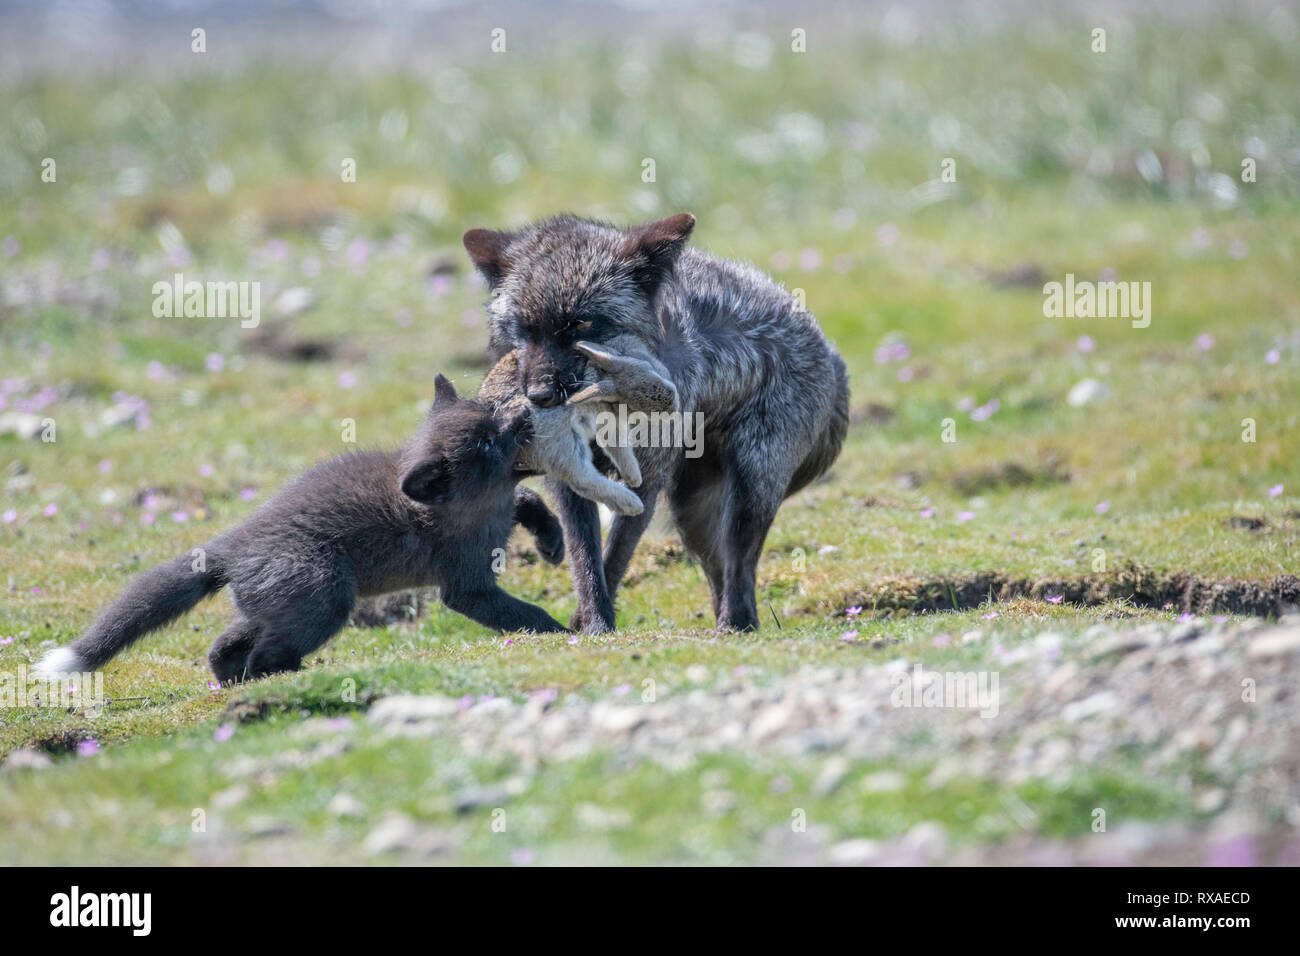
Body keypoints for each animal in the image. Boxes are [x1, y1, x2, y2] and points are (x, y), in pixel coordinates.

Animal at [34, 376, 567, 684]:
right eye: (484, 445)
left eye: (491, 414)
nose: (525, 410)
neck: (470, 508)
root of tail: (230, 546)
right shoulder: (467, 586)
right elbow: (522, 612)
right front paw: (567, 635)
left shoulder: (505, 509)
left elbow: (531, 501)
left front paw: (553, 544)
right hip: (324, 595)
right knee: (265, 656)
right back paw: (286, 679)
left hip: (279, 604)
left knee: (225, 647)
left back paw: (235, 681)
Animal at [463, 212, 850, 634]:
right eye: (524, 330)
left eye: (582, 324)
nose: (539, 395)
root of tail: (829, 351)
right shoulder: (571, 478)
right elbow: (586, 560)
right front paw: (592, 622)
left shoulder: (647, 477)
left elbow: (614, 557)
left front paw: (595, 625)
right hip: (692, 515)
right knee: (720, 574)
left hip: (751, 490)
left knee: (741, 569)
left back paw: (735, 625)